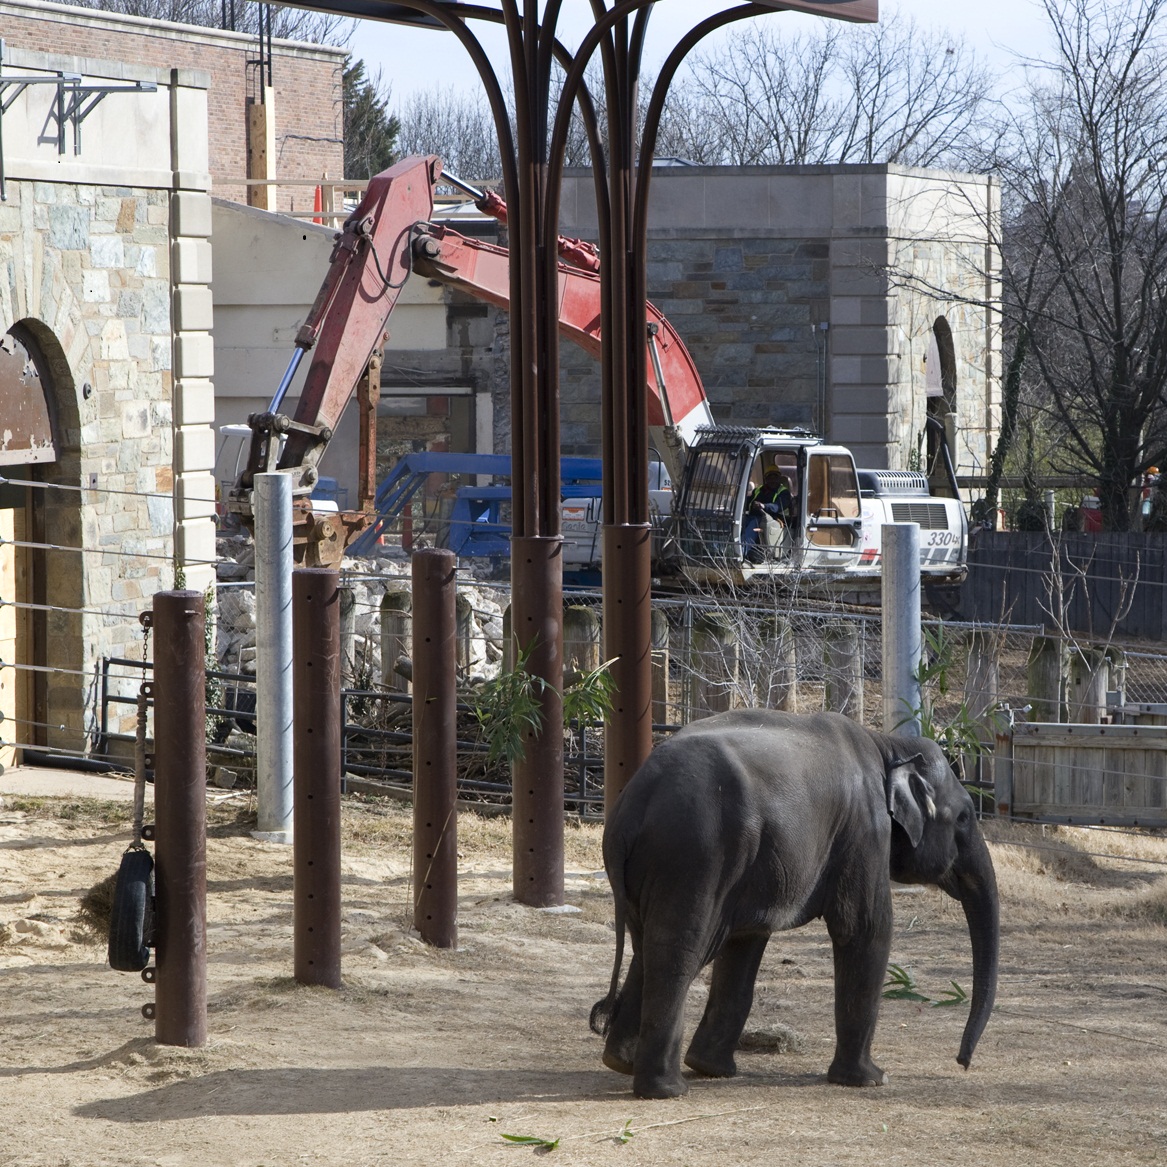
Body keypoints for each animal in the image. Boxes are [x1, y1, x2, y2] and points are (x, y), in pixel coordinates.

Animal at [592, 704, 1003, 1096]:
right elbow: (865, 929)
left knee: (652, 947)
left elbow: (746, 943)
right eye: (965, 817)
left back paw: (620, 1062)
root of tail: (632, 805)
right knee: (683, 949)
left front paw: (712, 1069)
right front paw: (871, 1080)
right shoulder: (865, 830)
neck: (889, 744)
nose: (962, 1061)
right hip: (696, 855)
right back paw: (666, 1089)